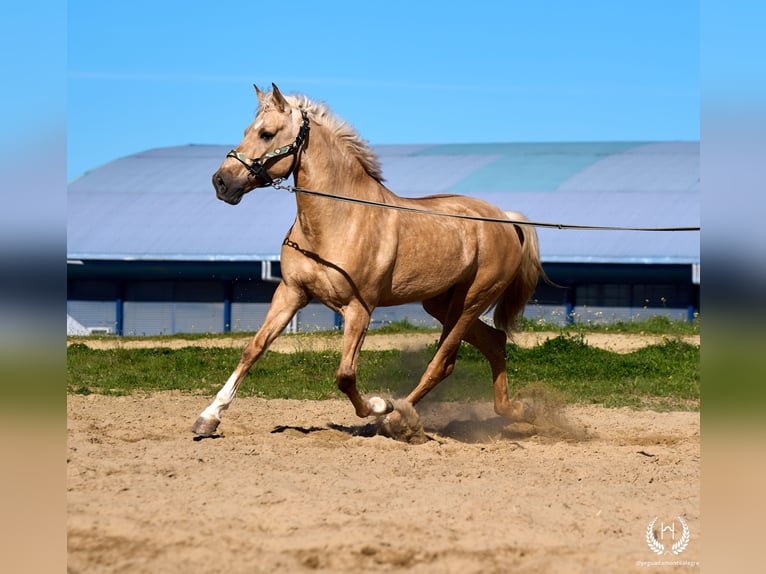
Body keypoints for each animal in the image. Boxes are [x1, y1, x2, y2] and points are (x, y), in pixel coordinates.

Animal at [192, 83, 546, 438]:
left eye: (266, 134)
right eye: (246, 131)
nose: (221, 182)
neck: (338, 221)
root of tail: (506, 220)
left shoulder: (359, 308)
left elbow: (345, 375)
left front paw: (379, 405)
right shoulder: (291, 293)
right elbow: (253, 349)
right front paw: (208, 417)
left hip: (471, 302)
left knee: (442, 363)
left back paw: (396, 417)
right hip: (442, 303)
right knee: (494, 343)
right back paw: (518, 411)